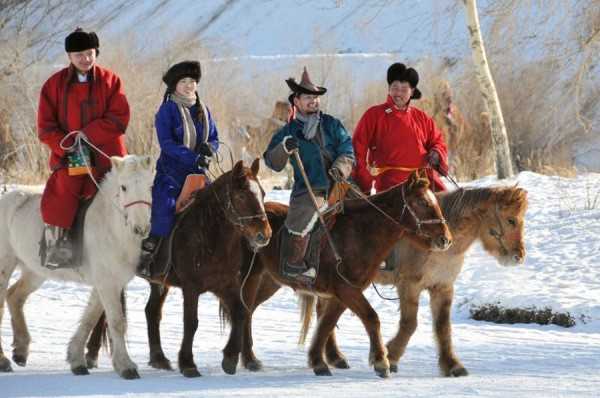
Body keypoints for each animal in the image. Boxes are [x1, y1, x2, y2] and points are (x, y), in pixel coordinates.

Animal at [0, 155, 152, 380]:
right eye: (123, 187)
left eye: (150, 186)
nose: (141, 228)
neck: (110, 227)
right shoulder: (107, 283)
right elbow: (117, 322)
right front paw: (126, 366)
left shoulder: (108, 283)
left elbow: (90, 318)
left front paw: (77, 360)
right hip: (5, 264)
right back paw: (3, 360)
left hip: (35, 271)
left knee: (15, 296)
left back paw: (20, 350)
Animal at [296, 186, 528, 376]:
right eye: (511, 220)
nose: (519, 256)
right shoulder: (409, 285)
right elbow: (409, 324)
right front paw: (389, 356)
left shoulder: (443, 287)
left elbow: (443, 327)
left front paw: (452, 365)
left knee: (325, 313)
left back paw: (332, 357)